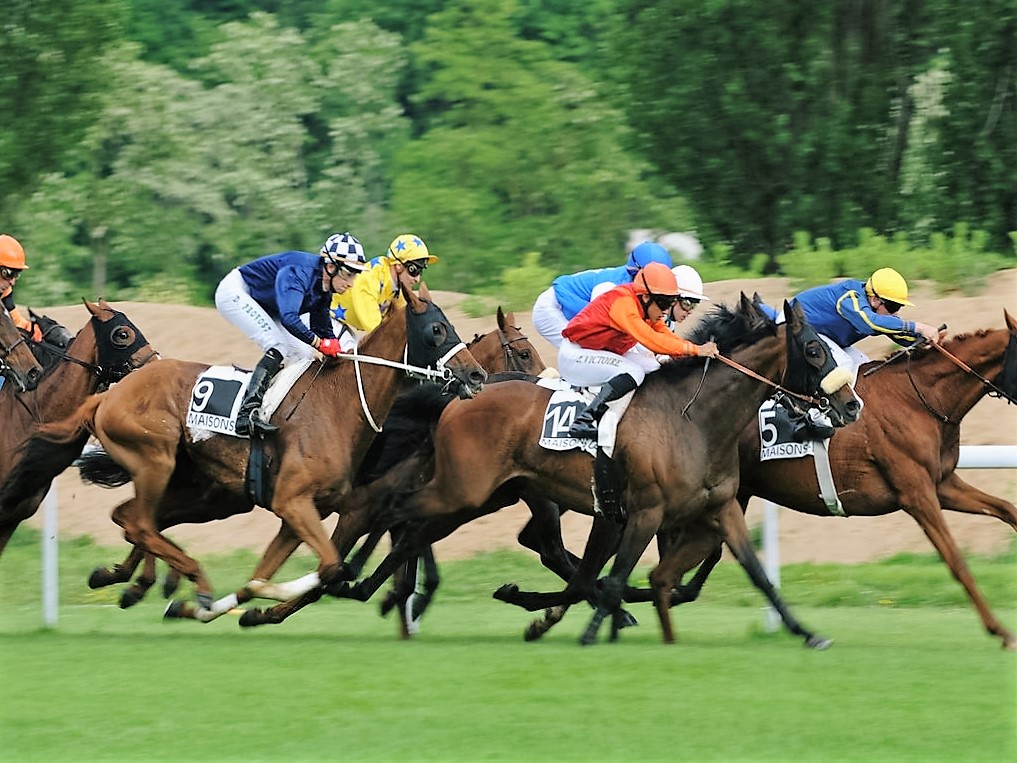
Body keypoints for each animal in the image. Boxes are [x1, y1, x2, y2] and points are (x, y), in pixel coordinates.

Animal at [38, 284, 484, 614]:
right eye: (437, 329)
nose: (476, 375)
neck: (339, 404)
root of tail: (108, 394)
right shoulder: (295, 503)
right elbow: (330, 567)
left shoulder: (305, 511)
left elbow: (290, 572)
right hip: (156, 460)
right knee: (141, 523)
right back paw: (190, 582)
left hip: (203, 492)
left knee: (134, 518)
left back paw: (130, 580)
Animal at [242, 295, 862, 647]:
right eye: (814, 351)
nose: (851, 405)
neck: (695, 417)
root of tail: (460, 397)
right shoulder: (644, 510)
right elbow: (611, 575)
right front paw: (588, 628)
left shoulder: (718, 508)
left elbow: (757, 575)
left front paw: (807, 633)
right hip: (465, 490)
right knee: (396, 513)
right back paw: (345, 586)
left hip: (478, 494)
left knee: (412, 524)